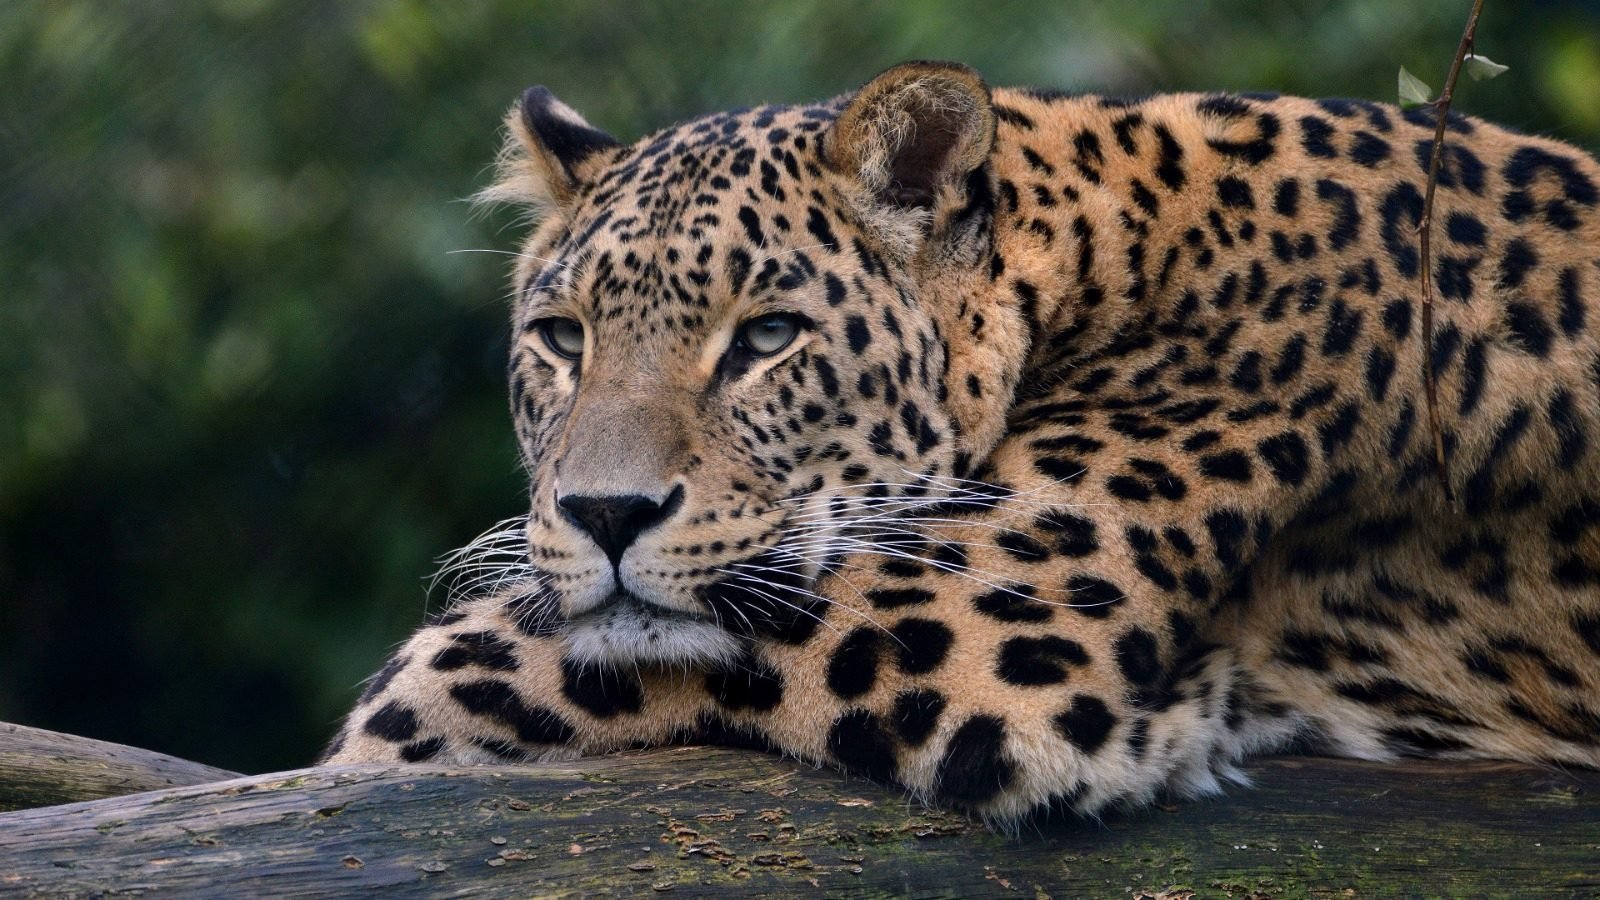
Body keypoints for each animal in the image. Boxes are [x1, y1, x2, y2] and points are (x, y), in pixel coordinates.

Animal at [323, 61, 1600, 825]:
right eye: (561, 338)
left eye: (767, 337)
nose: (604, 515)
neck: (1105, 251)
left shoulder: (977, 631)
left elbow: (440, 682)